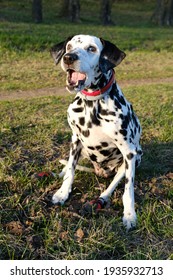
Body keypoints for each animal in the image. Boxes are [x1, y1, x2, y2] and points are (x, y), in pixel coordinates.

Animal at [50, 34, 142, 230]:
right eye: (69, 46)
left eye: (91, 48)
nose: (68, 57)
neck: (92, 104)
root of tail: (100, 172)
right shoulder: (75, 140)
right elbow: (70, 171)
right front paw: (62, 193)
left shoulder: (129, 152)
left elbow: (128, 189)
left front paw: (129, 214)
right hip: (82, 150)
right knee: (69, 166)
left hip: (135, 158)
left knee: (113, 184)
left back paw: (103, 198)